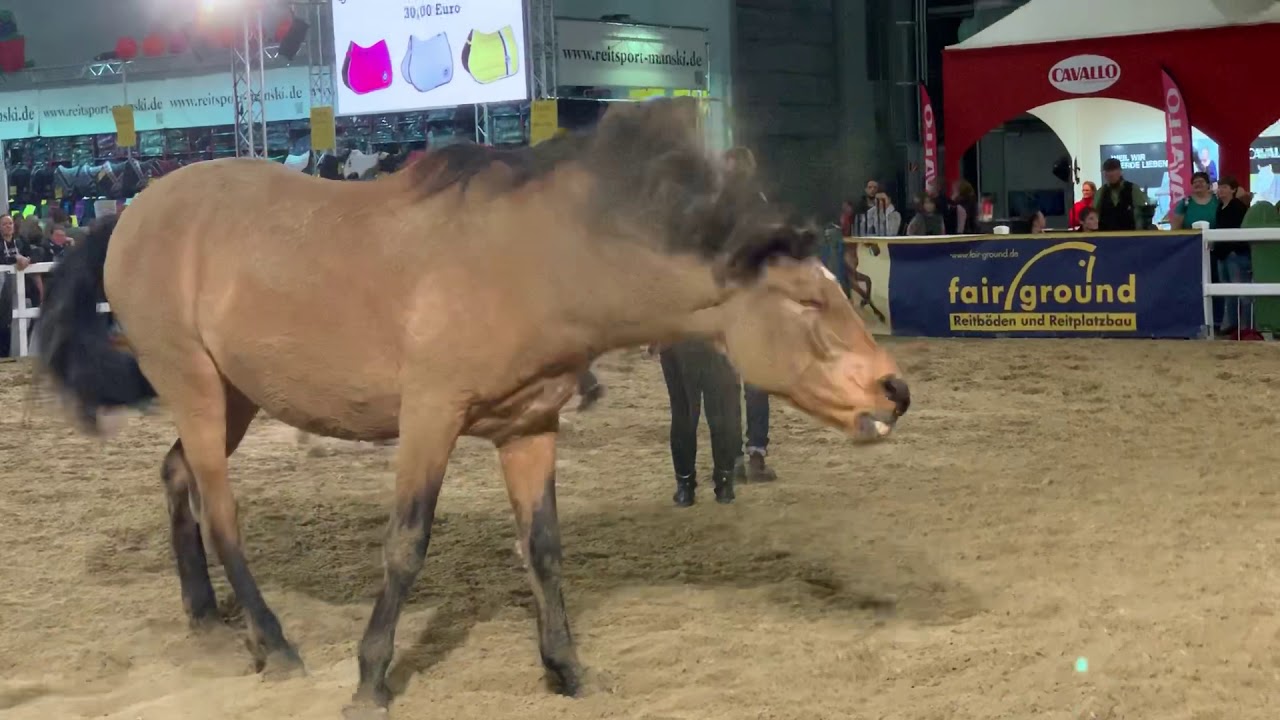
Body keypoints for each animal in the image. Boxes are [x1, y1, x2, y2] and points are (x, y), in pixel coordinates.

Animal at [32, 98, 911, 712]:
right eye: (807, 301)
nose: (894, 392)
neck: (535, 257)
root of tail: (131, 214)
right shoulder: (430, 418)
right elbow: (406, 545)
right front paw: (371, 678)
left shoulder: (529, 428)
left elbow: (544, 548)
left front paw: (566, 668)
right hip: (194, 385)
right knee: (220, 514)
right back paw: (274, 644)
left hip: (233, 395)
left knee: (176, 476)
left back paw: (211, 622)